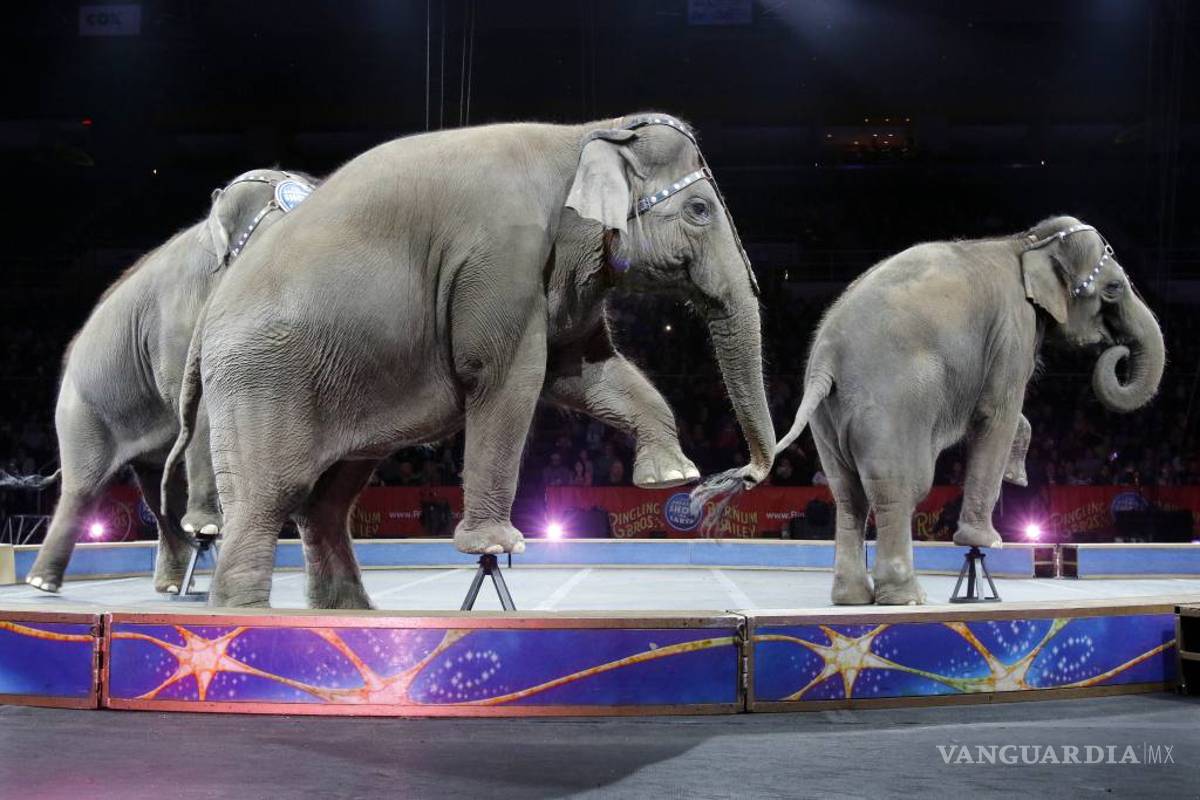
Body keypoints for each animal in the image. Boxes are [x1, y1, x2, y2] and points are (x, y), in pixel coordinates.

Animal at [23, 169, 317, 594]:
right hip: (81, 410)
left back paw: (175, 583)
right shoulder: (176, 320)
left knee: (155, 489)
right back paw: (42, 583)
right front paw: (209, 528)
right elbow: (199, 403)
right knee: (84, 486)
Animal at [163, 112, 776, 608]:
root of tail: (210, 308)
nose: (730, 479)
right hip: (259, 377)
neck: (588, 133)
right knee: (269, 496)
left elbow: (587, 372)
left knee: (326, 501)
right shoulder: (502, 259)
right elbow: (510, 378)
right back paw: (243, 615)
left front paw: (669, 475)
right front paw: (497, 546)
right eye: (699, 209)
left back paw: (347, 611)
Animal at [775, 216, 1164, 605]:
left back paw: (852, 598)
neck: (1024, 242)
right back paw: (907, 598)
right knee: (899, 488)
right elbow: (998, 413)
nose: (1118, 352)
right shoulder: (1013, 329)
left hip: (827, 418)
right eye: (1113, 287)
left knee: (848, 495)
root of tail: (826, 358)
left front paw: (1017, 476)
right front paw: (986, 540)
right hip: (892, 406)